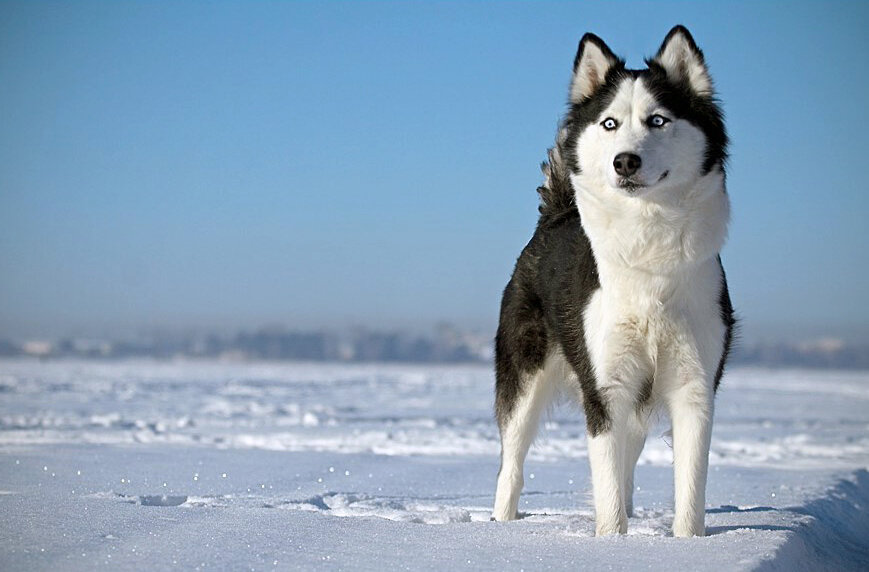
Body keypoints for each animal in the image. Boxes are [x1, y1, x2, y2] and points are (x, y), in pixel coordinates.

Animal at [488, 26, 732, 536]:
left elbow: (689, 491)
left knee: (626, 462)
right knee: (511, 463)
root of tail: (556, 214)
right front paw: (612, 541)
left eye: (658, 120)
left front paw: (689, 543)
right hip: (524, 376)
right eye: (609, 124)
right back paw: (502, 521)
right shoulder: (606, 389)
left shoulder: (694, 386)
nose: (625, 162)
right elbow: (607, 490)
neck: (648, 245)